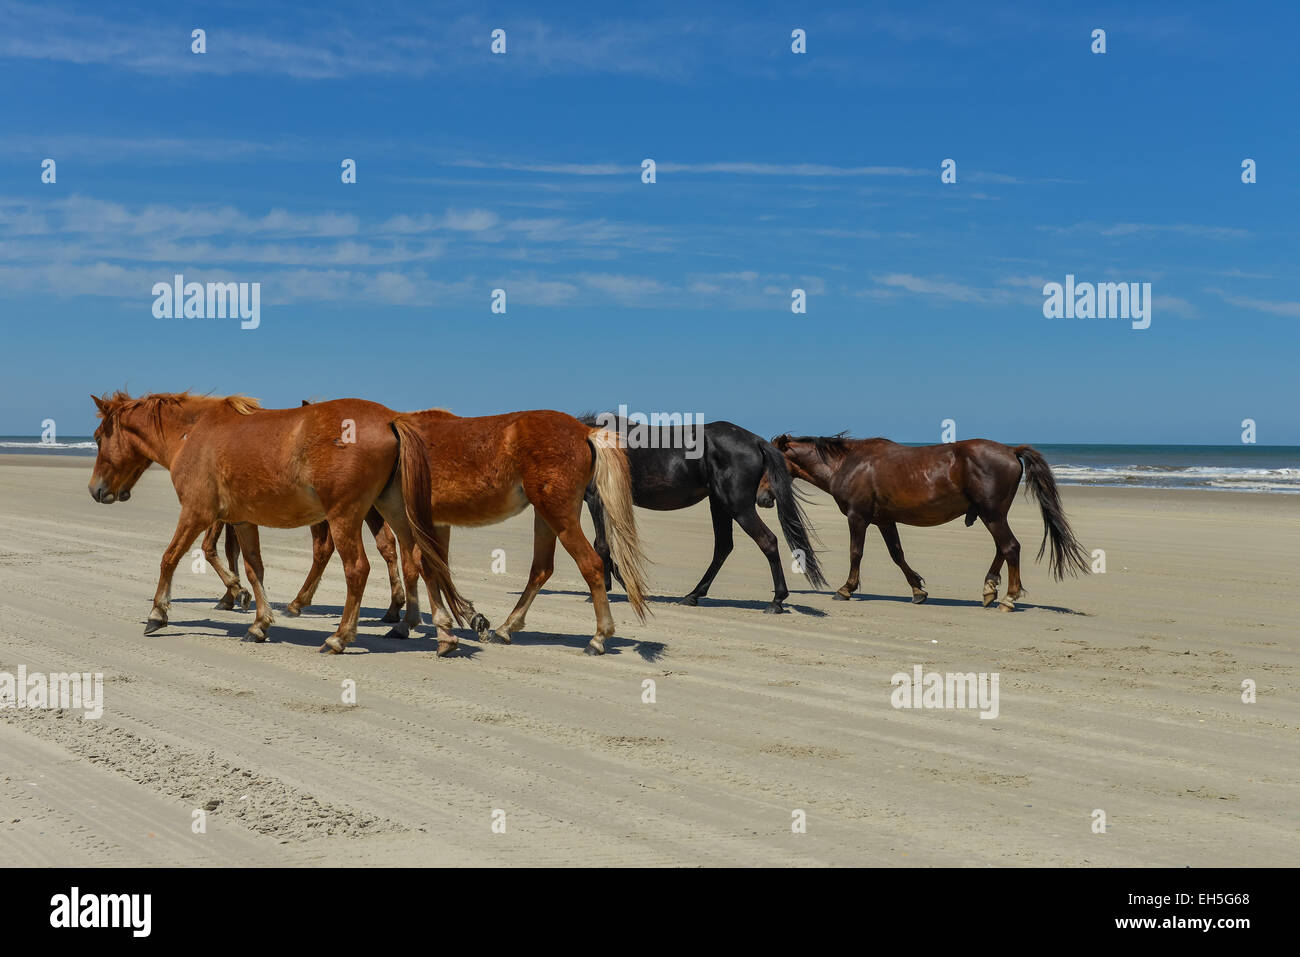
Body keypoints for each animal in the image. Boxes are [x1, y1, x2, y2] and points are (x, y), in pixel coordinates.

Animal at [87, 390, 473, 650]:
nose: (96, 490)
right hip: (394, 511)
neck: (193, 433)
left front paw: (158, 613)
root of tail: (391, 419)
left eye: (98, 438)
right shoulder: (242, 521)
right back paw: (443, 632)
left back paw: (340, 636)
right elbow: (253, 568)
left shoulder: (196, 513)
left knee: (358, 569)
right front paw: (259, 623)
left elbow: (169, 557)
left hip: (346, 516)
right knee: (423, 560)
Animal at [284, 408, 650, 655]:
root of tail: (584, 431)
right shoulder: (434, 523)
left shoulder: (421, 522)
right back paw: (506, 628)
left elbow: (422, 567)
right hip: (546, 516)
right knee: (541, 570)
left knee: (591, 565)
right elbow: (423, 568)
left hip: (558, 515)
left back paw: (598, 638)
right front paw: (427, 620)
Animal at [585, 413, 826, 613]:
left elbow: (601, 544)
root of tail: (756, 441)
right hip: (719, 504)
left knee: (767, 541)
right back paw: (694, 594)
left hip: (738, 507)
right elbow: (602, 544)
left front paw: (608, 585)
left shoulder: (596, 498)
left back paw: (777, 601)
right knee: (723, 547)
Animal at [759, 436, 1086, 608]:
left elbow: (856, 553)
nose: (761, 497)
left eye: (769, 463)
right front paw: (918, 589)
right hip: (991, 515)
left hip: (992, 514)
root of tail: (1010, 450)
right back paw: (990, 588)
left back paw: (1008, 597)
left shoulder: (858, 517)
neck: (848, 464)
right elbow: (897, 554)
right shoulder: (884, 521)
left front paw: (846, 588)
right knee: (1002, 549)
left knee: (1010, 547)